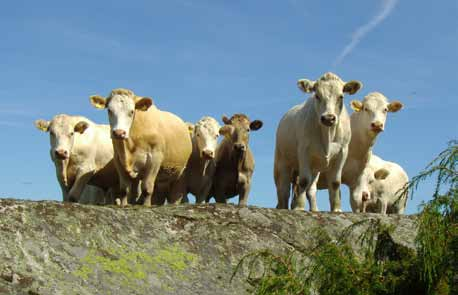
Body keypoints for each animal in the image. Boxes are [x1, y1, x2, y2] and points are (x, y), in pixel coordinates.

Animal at [274, 72, 364, 212]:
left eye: (341, 96)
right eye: (317, 95)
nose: (328, 118)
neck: (327, 135)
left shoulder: (343, 152)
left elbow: (335, 182)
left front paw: (336, 209)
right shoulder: (303, 151)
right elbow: (303, 180)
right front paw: (299, 207)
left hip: (315, 168)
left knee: (311, 189)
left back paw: (314, 209)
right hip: (282, 161)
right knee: (283, 189)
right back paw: (283, 207)